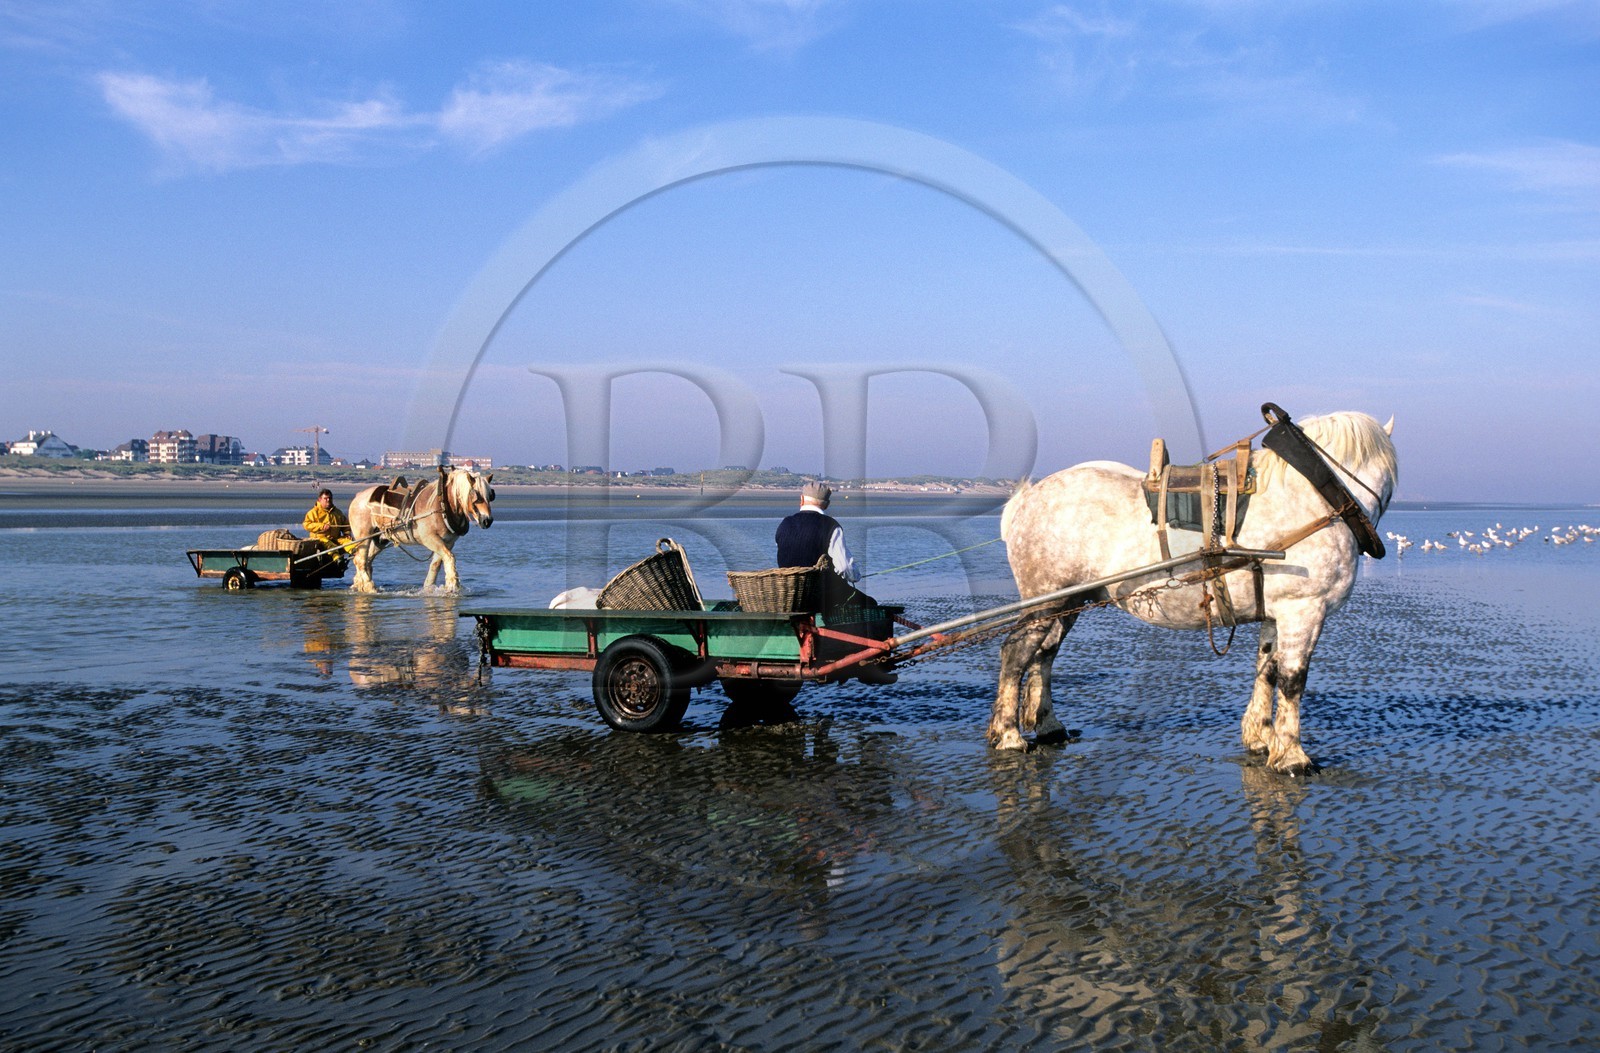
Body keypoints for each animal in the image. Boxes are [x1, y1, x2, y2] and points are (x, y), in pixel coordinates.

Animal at [346, 467, 495, 593]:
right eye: (476, 497)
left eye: (490, 496)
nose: (487, 520)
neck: (442, 505)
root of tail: (358, 496)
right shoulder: (430, 539)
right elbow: (449, 558)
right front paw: (453, 586)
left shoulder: (448, 542)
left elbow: (436, 564)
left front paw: (430, 588)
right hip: (363, 536)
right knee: (360, 560)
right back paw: (370, 587)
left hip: (379, 540)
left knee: (366, 561)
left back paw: (358, 584)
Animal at [992, 409, 1397, 774]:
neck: (1314, 497)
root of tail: (1025, 500)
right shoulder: (1304, 610)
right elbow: (1293, 680)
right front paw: (1293, 756)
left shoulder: (1277, 613)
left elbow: (1267, 671)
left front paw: (1261, 738)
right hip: (1048, 600)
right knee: (1016, 652)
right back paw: (1008, 735)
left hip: (1068, 601)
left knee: (1044, 654)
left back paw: (1048, 726)